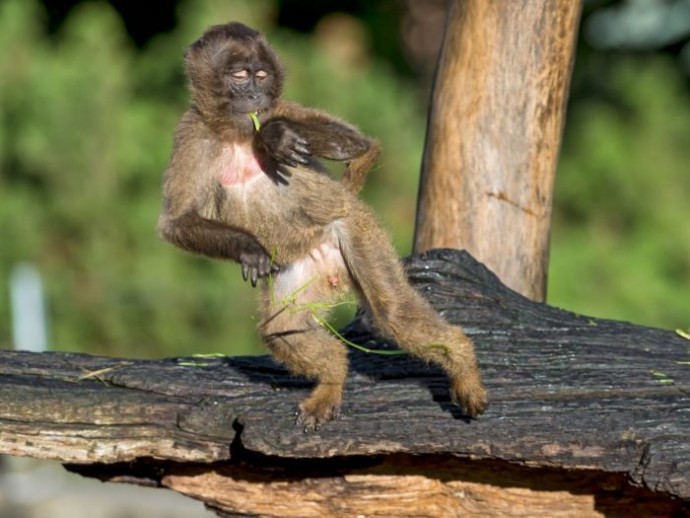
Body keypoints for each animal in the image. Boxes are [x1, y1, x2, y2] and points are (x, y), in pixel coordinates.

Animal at [159, 22, 486, 430]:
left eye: (260, 76)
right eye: (239, 76)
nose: (253, 95)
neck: (235, 135)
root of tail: (329, 267)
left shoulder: (277, 108)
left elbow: (357, 144)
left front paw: (273, 136)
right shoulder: (191, 133)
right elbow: (176, 223)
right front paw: (248, 248)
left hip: (355, 232)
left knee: (392, 312)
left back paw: (460, 357)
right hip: (301, 271)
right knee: (282, 329)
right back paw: (333, 377)